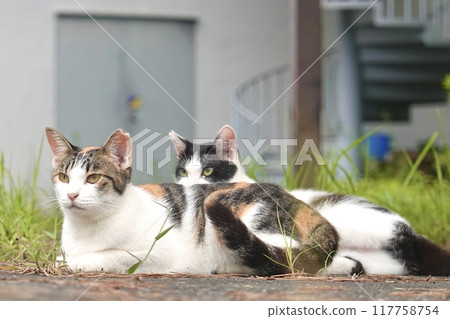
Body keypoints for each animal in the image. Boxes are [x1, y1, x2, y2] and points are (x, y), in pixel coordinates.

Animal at [46, 127, 342, 276]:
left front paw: (70, 263)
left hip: (236, 210)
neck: (89, 227)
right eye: (63, 177)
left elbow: (108, 256)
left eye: (93, 178)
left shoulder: (158, 251)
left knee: (288, 259)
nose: (72, 195)